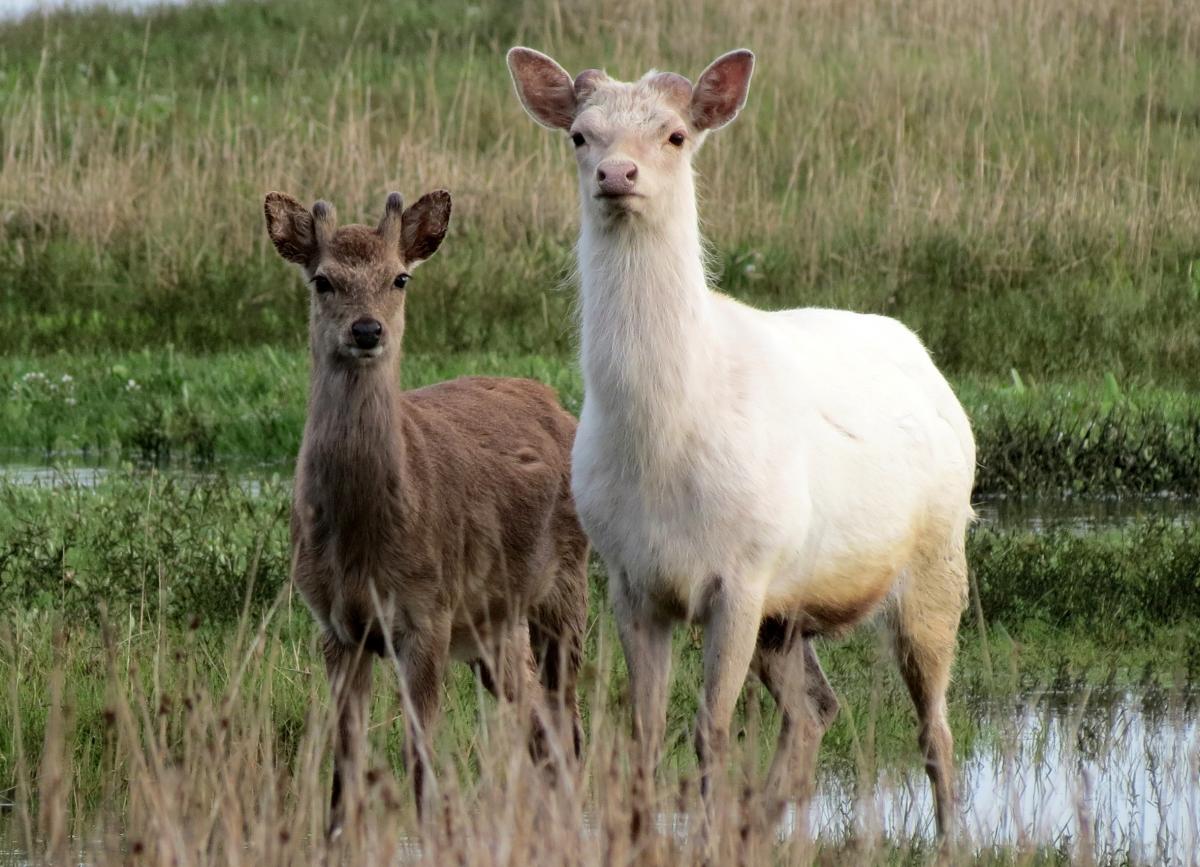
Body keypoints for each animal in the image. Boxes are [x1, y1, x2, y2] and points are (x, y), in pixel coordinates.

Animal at [268, 187, 595, 830]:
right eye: (322, 280)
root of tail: (556, 403)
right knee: (539, 724)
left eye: (400, 278)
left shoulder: (429, 612)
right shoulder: (334, 625)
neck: (364, 542)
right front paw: (336, 833)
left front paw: (432, 829)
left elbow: (418, 753)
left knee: (566, 725)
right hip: (495, 624)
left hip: (565, 588)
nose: (366, 329)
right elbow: (346, 757)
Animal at [506, 47, 974, 830]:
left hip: (939, 554)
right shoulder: (629, 578)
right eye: (579, 136)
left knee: (934, 726)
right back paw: (765, 816)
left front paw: (707, 825)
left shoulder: (742, 574)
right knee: (816, 708)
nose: (617, 176)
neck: (660, 448)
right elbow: (644, 730)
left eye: (674, 135)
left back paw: (948, 835)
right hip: (788, 613)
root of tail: (931, 365)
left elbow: (711, 731)